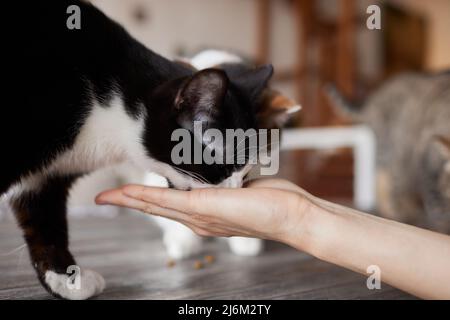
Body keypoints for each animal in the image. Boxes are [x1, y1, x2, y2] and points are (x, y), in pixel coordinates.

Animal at [4, 1, 298, 298]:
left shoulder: (47, 178)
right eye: (225, 165)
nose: (236, 190)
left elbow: (45, 225)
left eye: (247, 172)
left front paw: (68, 282)